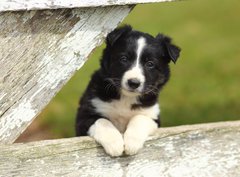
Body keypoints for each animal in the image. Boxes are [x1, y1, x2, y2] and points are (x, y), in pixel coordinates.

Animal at [75, 25, 180, 156]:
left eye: (150, 64)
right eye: (124, 59)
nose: (134, 83)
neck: (126, 98)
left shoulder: (153, 116)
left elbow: (139, 118)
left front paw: (132, 143)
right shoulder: (84, 115)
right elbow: (102, 121)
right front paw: (114, 143)